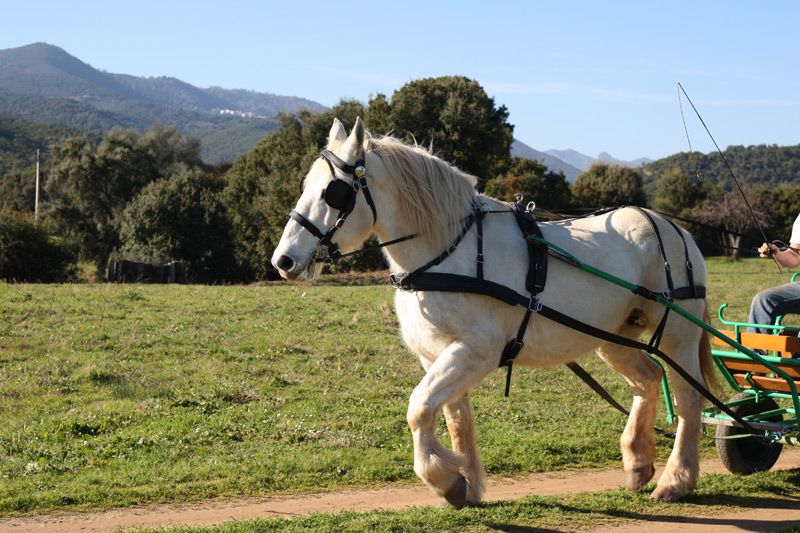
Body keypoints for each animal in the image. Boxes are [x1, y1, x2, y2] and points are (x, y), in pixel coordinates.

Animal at [271, 117, 715, 507]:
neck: (449, 250)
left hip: (677, 335)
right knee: (648, 379)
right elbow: (455, 420)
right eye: (306, 186)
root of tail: (675, 229)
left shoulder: (475, 352)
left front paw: (443, 478)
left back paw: (676, 480)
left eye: (334, 192)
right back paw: (638, 462)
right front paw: (465, 483)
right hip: (613, 338)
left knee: (689, 400)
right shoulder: (437, 356)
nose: (284, 261)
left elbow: (419, 408)